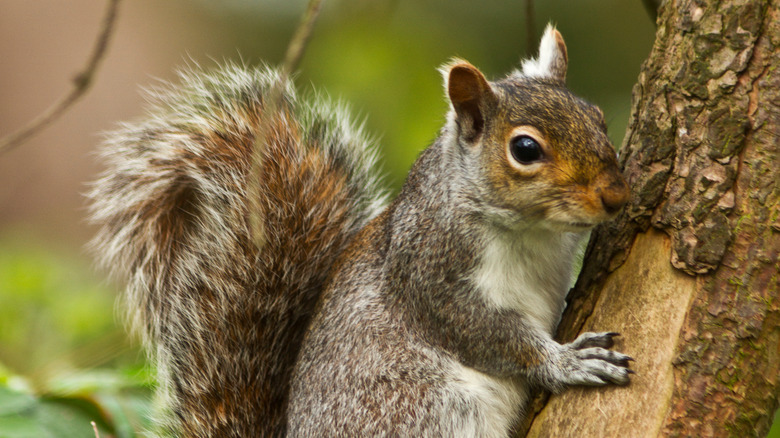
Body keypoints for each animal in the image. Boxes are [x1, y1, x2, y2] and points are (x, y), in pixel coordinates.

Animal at [87, 25, 632, 436]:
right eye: (525, 149)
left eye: (598, 118)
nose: (616, 196)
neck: (536, 232)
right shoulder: (430, 268)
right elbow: (484, 332)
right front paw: (566, 361)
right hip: (421, 407)